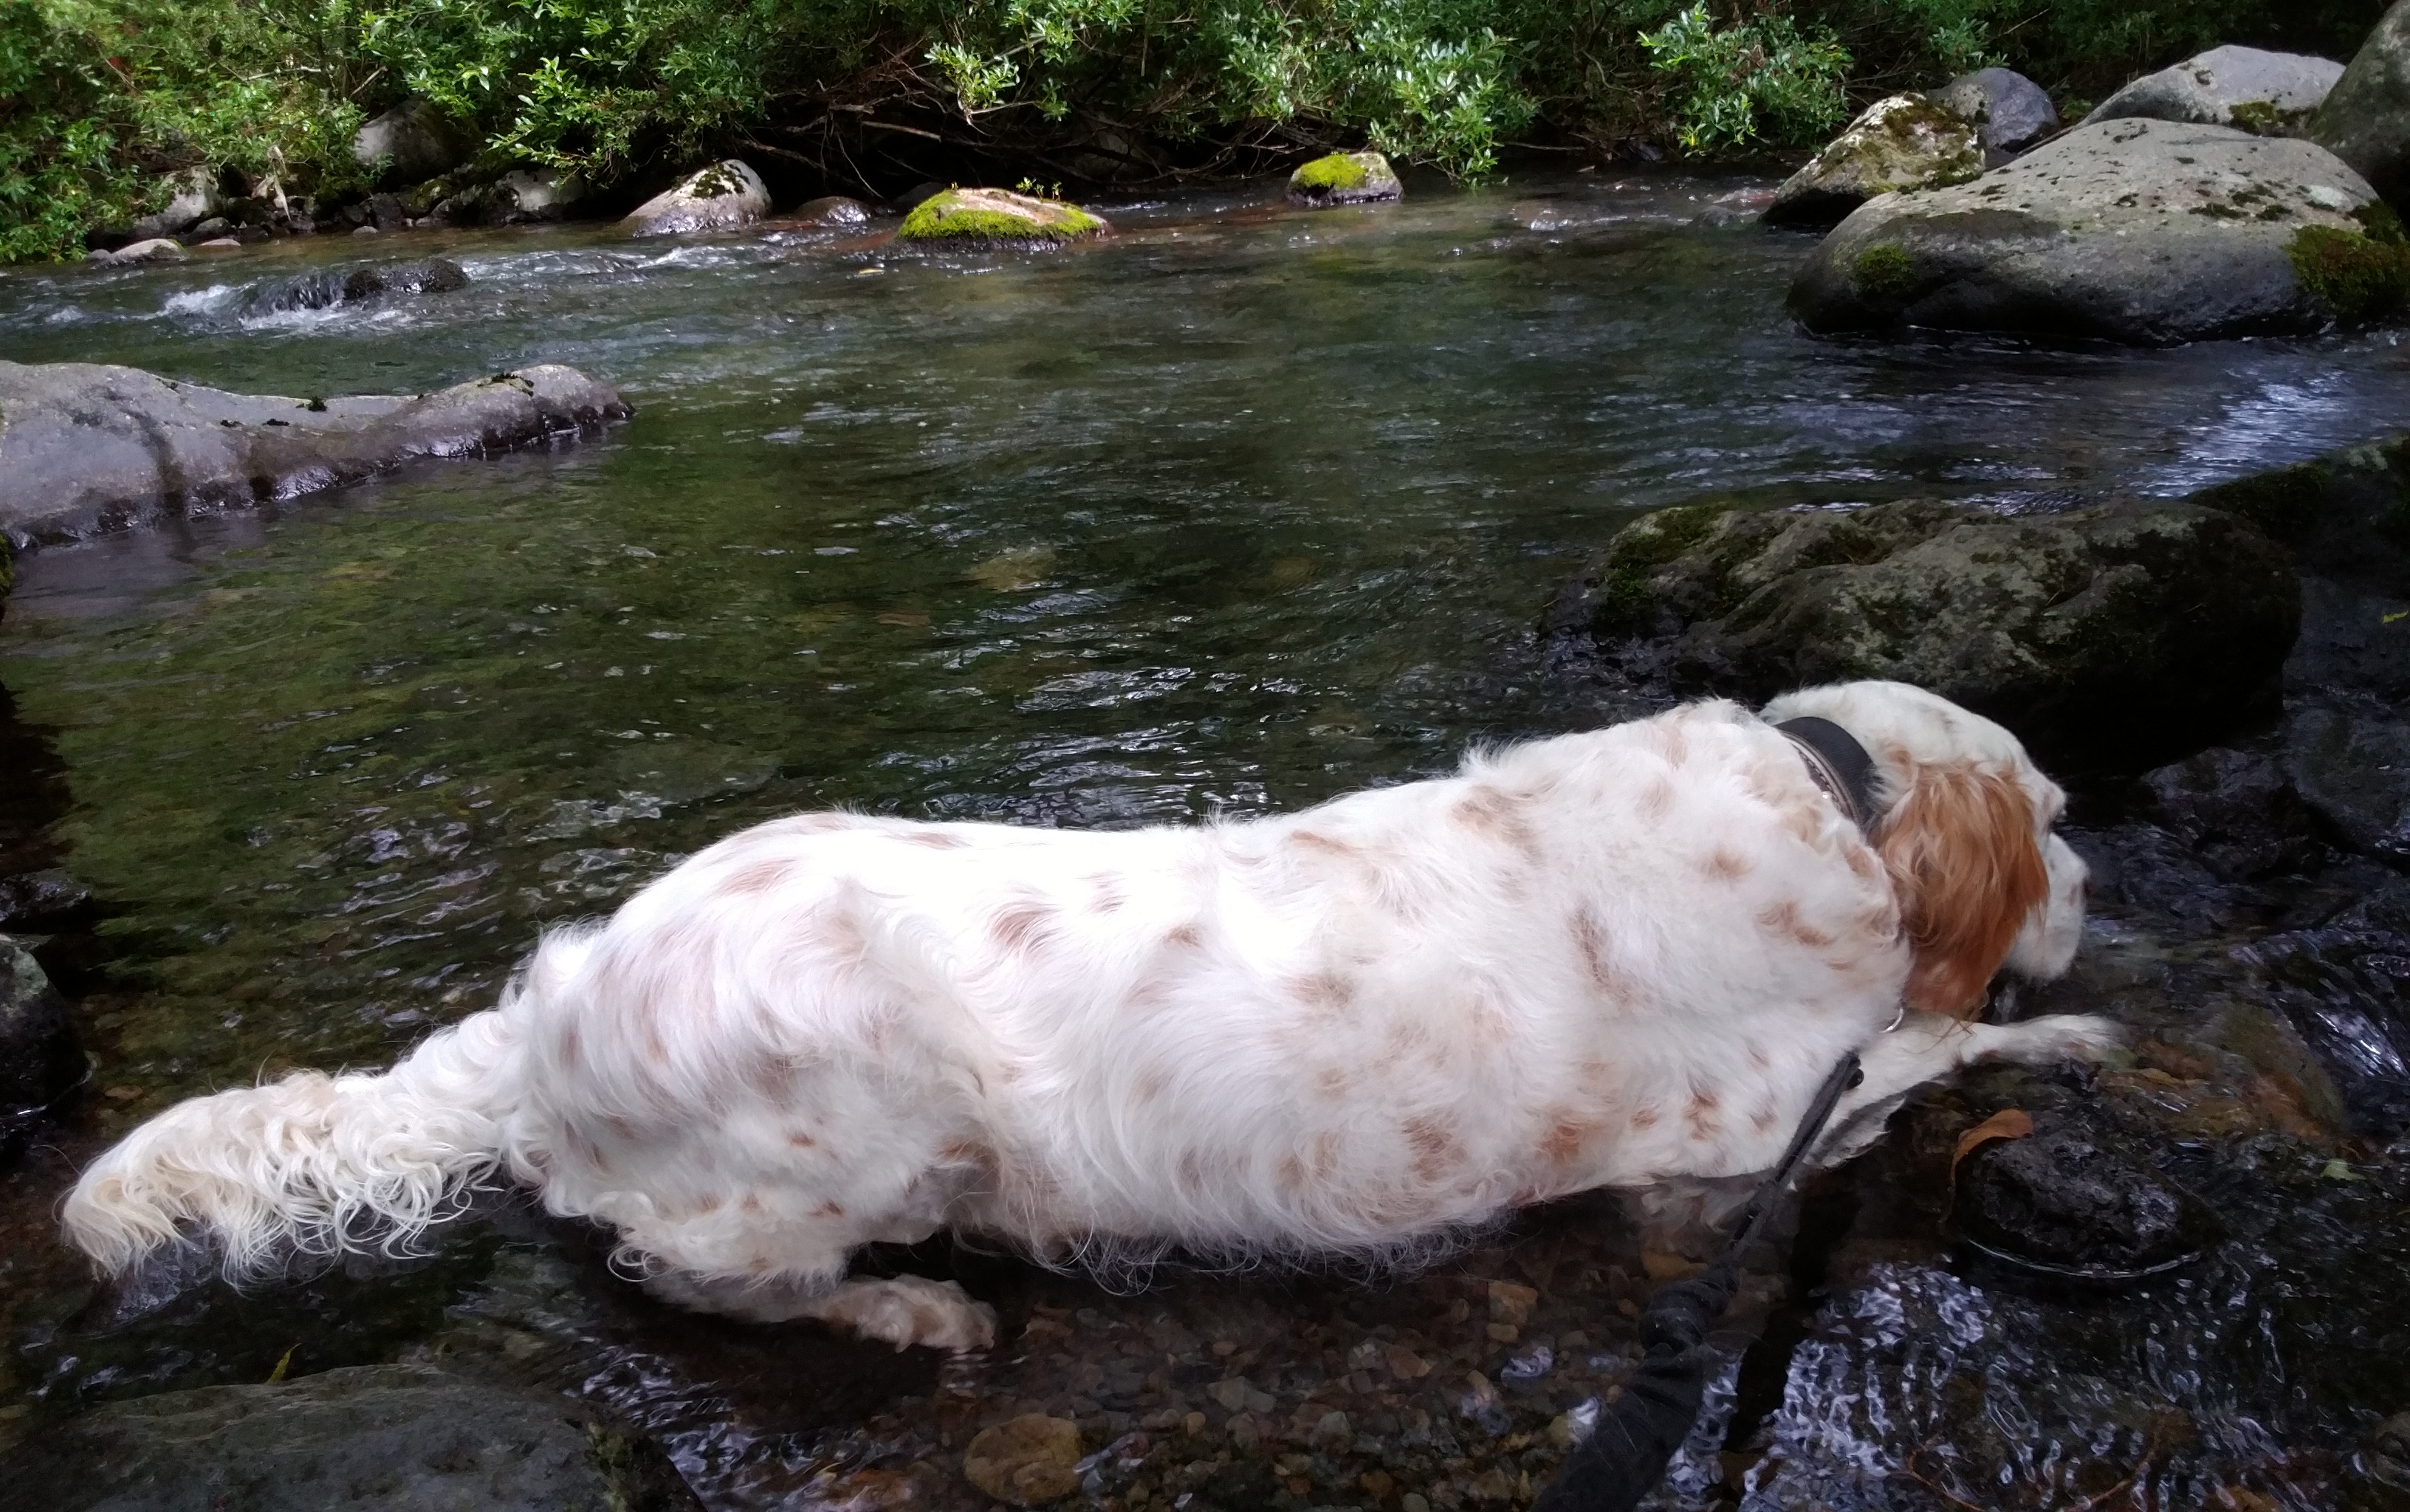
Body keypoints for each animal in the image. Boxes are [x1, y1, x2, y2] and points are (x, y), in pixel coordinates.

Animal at [61, 680, 2111, 1350]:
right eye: (2067, 813)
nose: (2095, 889)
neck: (1828, 801)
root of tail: (567, 990)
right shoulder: (1742, 1127)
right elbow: (1945, 1045)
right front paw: (2071, 1034)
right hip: (855, 1118)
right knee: (682, 1266)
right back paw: (910, 1308)